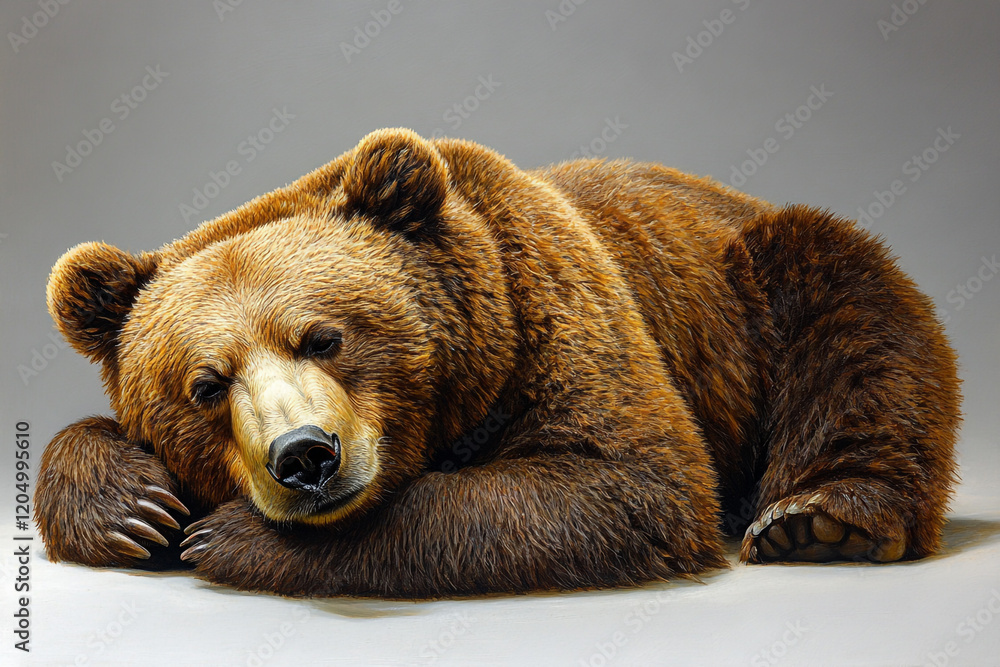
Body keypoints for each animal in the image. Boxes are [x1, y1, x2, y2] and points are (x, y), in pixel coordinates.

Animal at [34, 128, 961, 598]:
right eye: (204, 384)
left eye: (324, 336)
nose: (304, 456)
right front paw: (133, 505)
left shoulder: (552, 306)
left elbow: (619, 481)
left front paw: (224, 537)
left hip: (755, 285)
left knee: (859, 330)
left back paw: (823, 518)